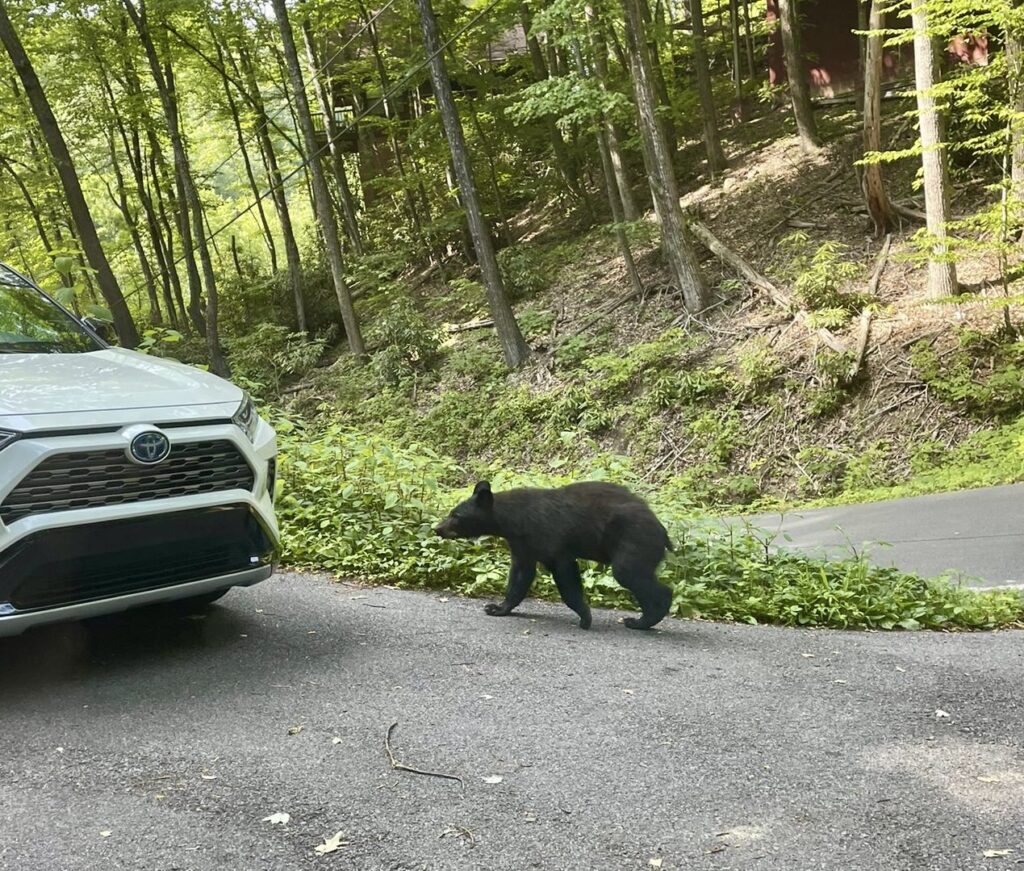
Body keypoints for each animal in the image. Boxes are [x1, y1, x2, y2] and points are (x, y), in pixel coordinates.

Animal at [434, 480, 675, 630]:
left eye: (456, 515)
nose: (437, 528)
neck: (513, 520)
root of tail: (663, 531)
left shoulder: (548, 538)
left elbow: (565, 574)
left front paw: (585, 617)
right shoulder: (522, 543)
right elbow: (520, 574)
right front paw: (497, 608)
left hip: (634, 541)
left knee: (630, 574)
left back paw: (642, 620)